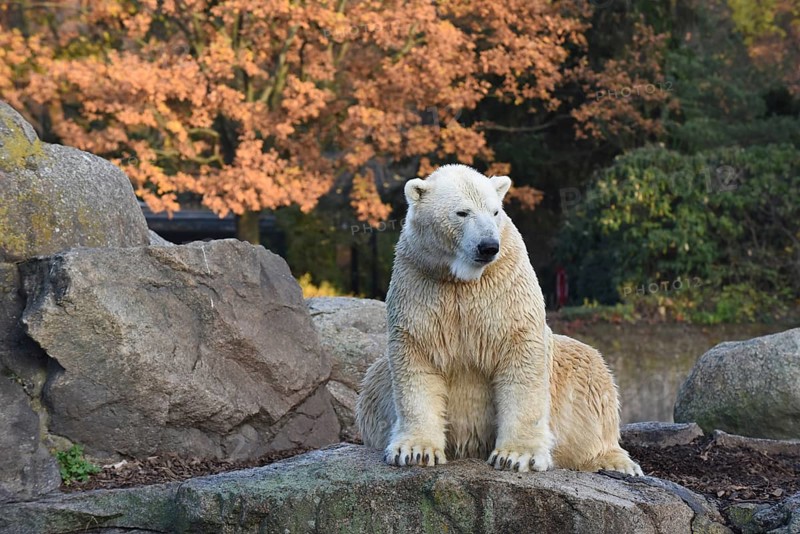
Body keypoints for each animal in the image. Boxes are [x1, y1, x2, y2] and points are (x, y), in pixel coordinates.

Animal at [356, 164, 642, 475]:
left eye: (495, 211)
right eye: (462, 212)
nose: (488, 246)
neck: (462, 279)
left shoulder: (505, 288)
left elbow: (521, 356)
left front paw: (517, 456)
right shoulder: (421, 283)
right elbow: (417, 358)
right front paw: (414, 451)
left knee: (590, 371)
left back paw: (615, 462)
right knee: (374, 378)